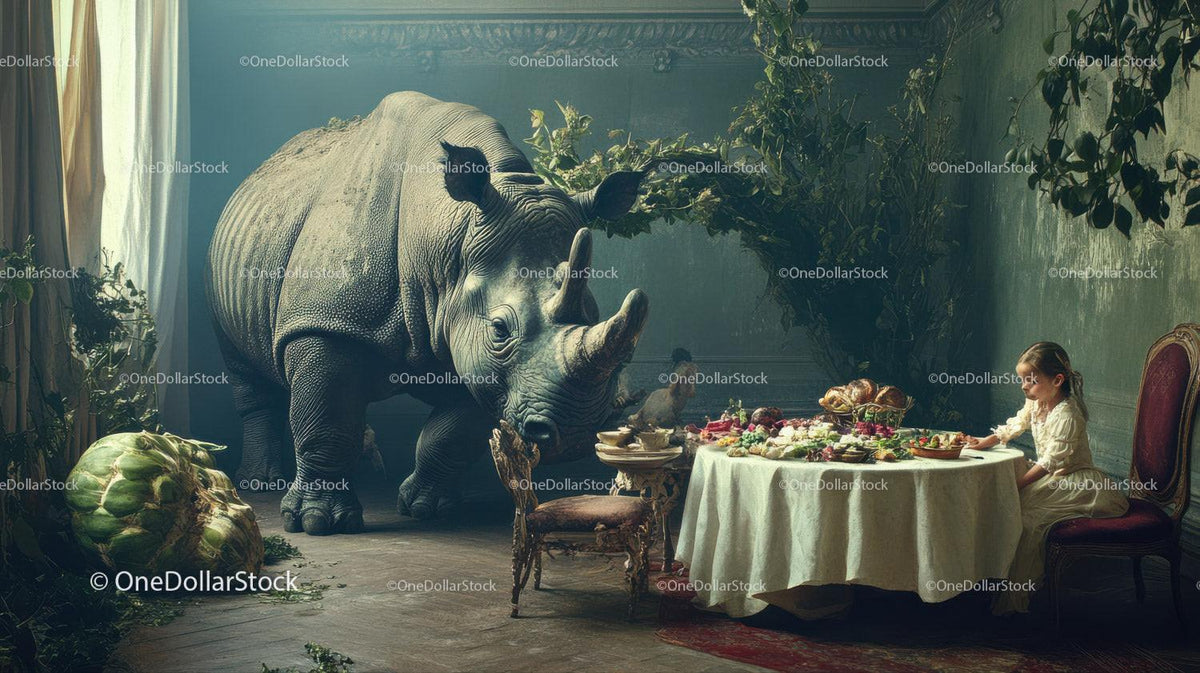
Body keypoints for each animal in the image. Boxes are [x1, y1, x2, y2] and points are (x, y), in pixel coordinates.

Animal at [205, 92, 649, 535]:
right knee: (245, 370)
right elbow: (327, 421)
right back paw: (261, 482)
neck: (447, 236)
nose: (576, 434)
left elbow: (451, 433)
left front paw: (428, 508)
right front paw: (318, 522)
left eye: (594, 316)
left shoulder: (478, 354)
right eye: (500, 329)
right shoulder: (326, 325)